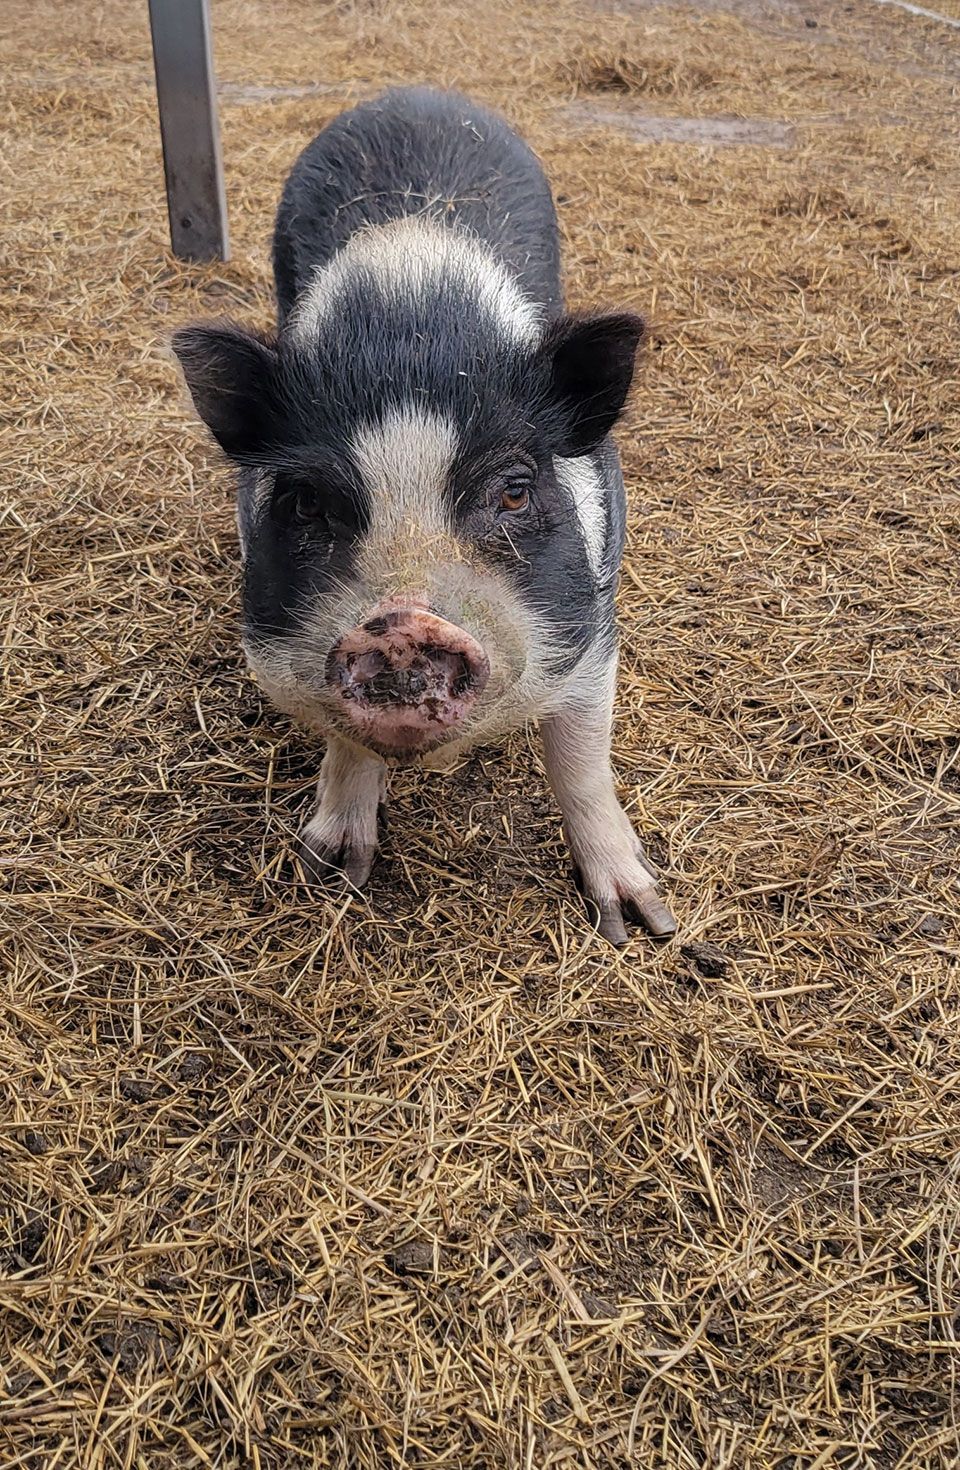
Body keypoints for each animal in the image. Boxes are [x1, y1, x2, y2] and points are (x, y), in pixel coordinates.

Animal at [172, 86, 676, 944]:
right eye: (305, 500)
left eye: (514, 490)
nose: (403, 623)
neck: (412, 322)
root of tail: (412, 94)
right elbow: (342, 739)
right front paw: (326, 875)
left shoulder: (592, 615)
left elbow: (581, 760)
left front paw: (642, 924)